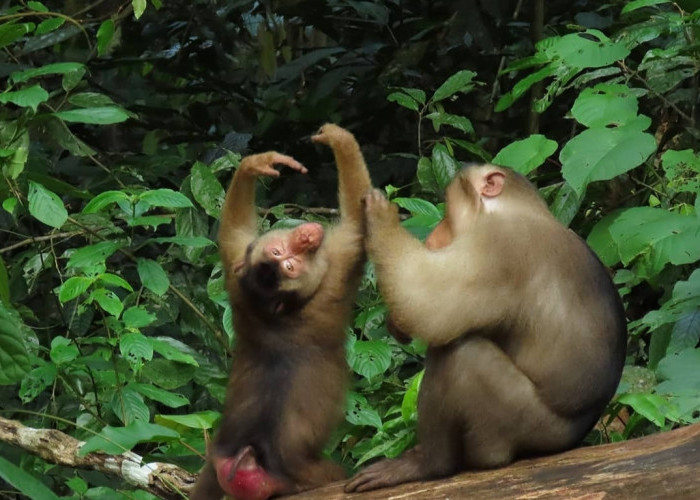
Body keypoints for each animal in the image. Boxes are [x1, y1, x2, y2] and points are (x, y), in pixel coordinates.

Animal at [186, 122, 372, 500]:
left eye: (279, 251)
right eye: (288, 264)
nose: (305, 239)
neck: (276, 312)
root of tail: (246, 458)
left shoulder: (237, 273)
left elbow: (232, 231)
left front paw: (254, 165)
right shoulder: (334, 270)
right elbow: (357, 224)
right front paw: (340, 140)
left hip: (220, 460)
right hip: (310, 477)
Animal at [348, 164, 628, 492]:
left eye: (447, 212)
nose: (432, 236)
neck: (519, 211)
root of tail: (570, 437)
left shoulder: (499, 243)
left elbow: (428, 308)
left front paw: (379, 216)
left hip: (520, 423)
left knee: (460, 354)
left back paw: (431, 463)